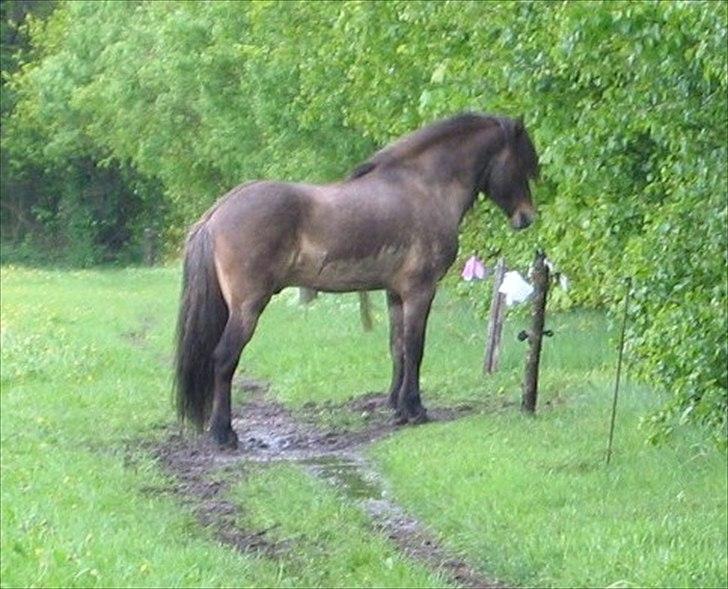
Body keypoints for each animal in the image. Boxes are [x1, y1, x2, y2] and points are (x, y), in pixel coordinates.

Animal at [176, 111, 540, 446]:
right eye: (522, 163)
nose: (527, 218)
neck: (424, 187)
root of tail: (217, 213)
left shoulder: (395, 293)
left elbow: (398, 348)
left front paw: (397, 407)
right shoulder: (420, 291)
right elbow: (415, 348)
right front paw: (415, 409)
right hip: (247, 307)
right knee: (224, 359)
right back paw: (223, 433)